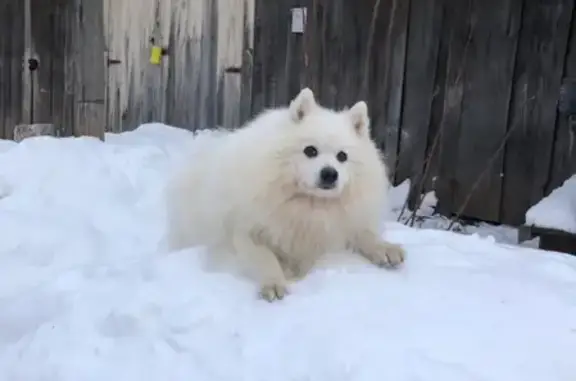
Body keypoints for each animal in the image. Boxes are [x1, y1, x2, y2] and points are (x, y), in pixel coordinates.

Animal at [166, 87, 404, 302]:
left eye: (342, 156)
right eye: (310, 150)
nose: (330, 174)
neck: (307, 205)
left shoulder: (342, 225)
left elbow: (365, 235)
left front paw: (386, 249)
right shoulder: (246, 230)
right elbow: (265, 258)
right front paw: (274, 282)